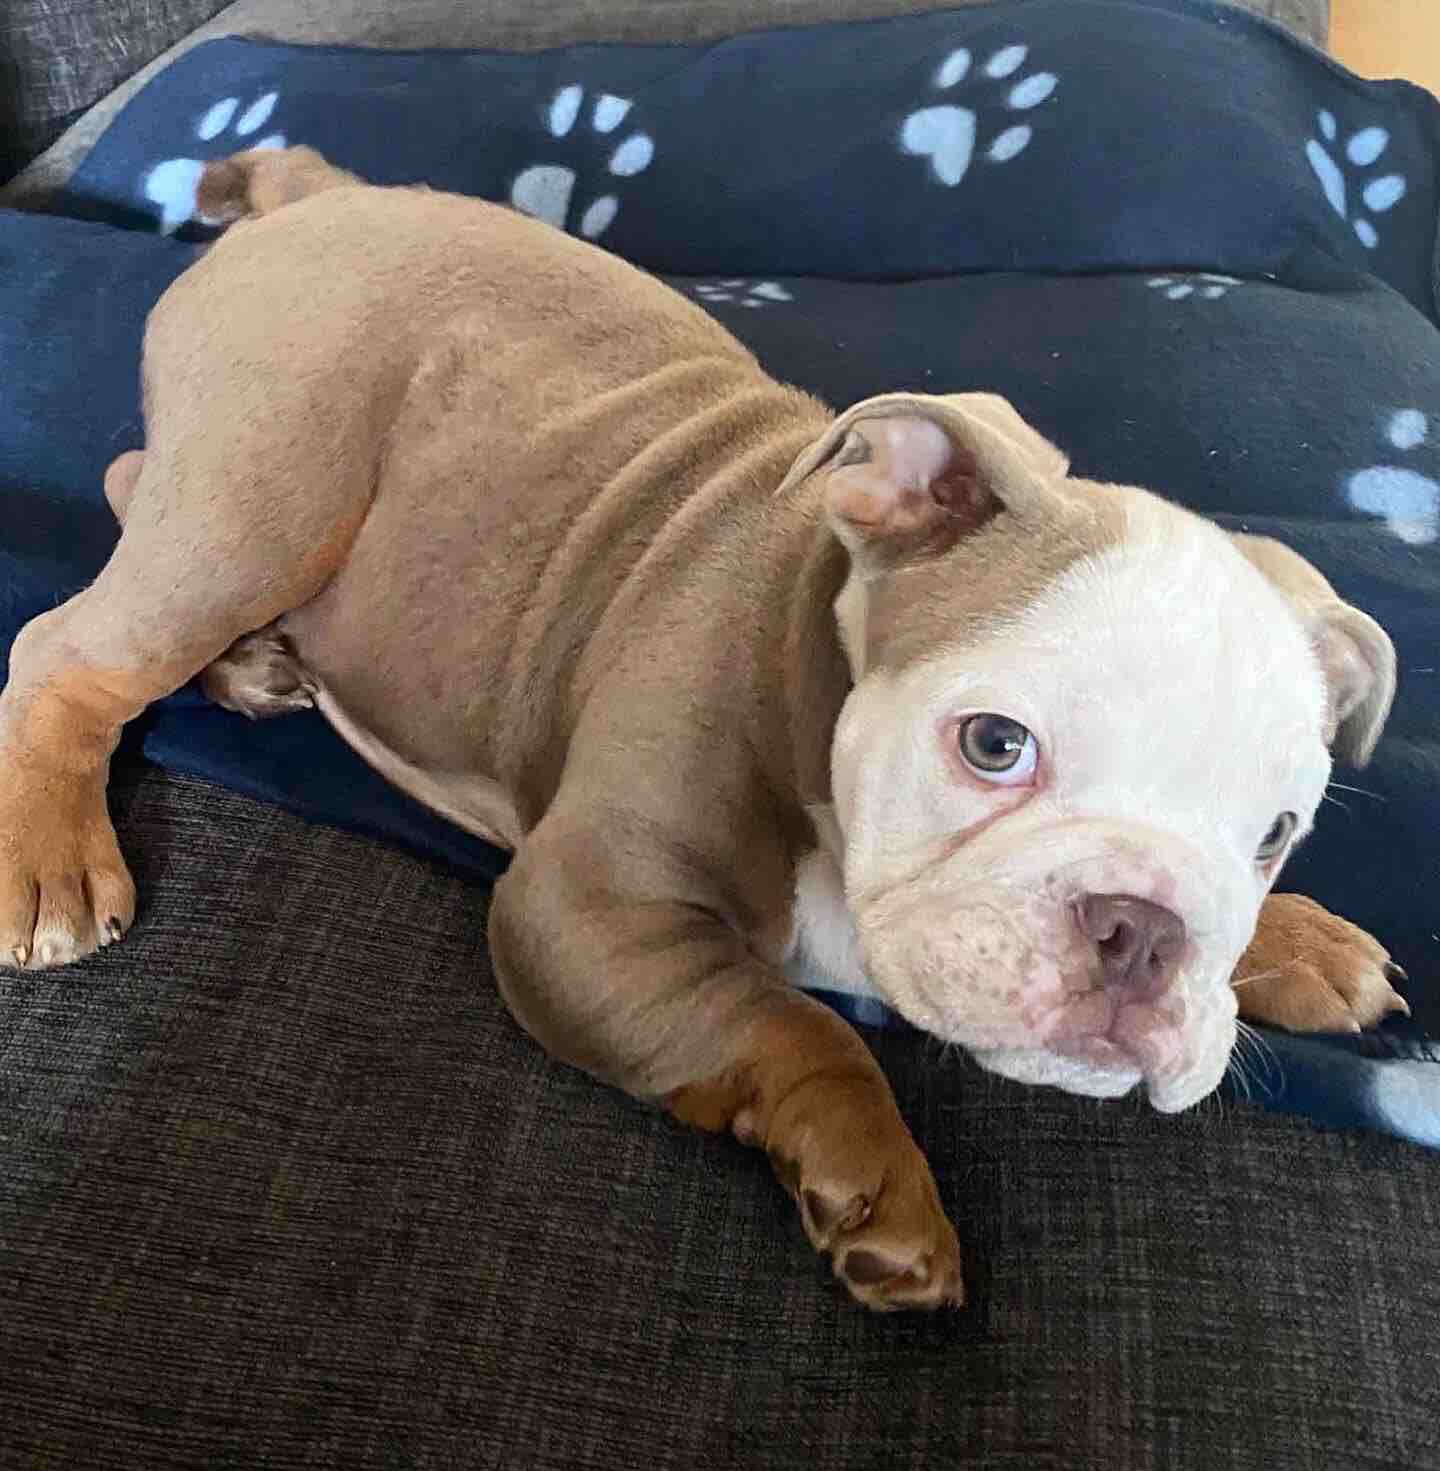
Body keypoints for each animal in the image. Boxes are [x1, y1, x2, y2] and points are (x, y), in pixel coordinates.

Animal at [0, 148, 1409, 1310]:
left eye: (1275, 832)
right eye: (995, 744)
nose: (1145, 932)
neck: (817, 659)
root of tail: (312, 195)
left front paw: (1298, 942)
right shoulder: (588, 916)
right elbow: (791, 1019)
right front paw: (880, 1185)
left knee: (132, 486)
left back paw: (252, 665)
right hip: (273, 487)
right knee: (76, 642)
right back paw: (62, 853)